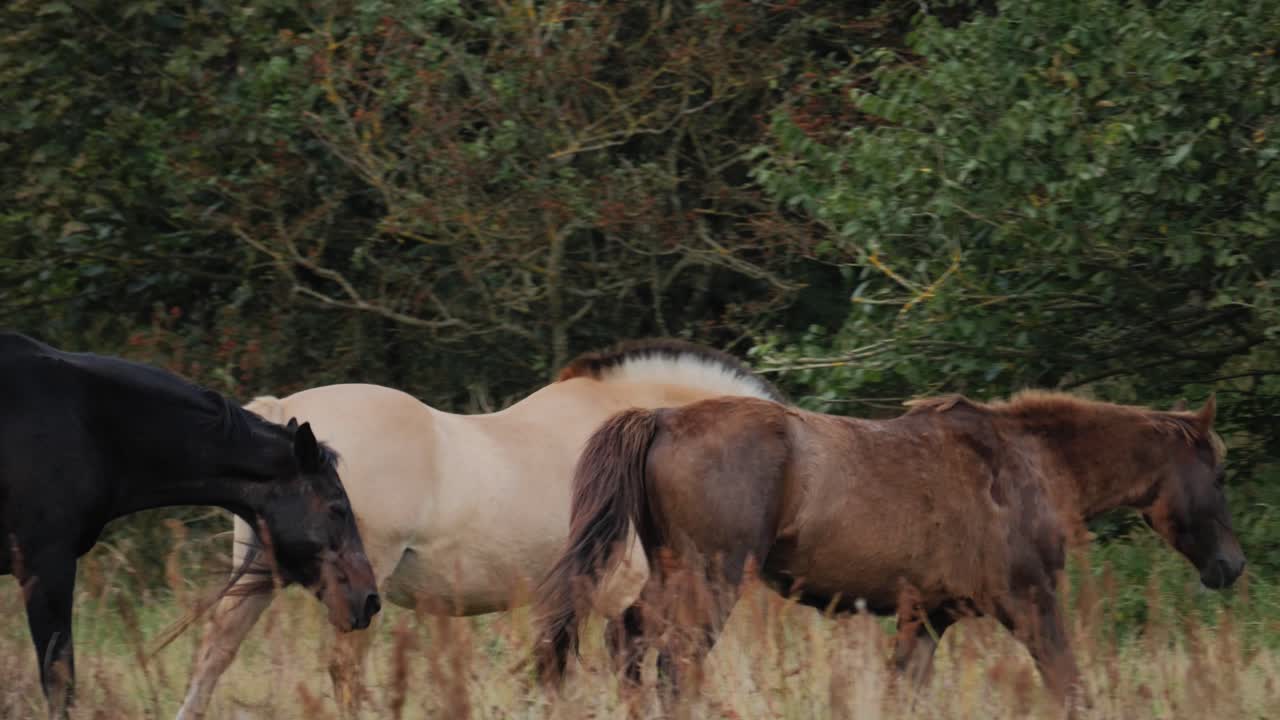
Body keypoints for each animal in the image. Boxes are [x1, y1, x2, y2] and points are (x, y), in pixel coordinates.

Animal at [173, 339, 784, 719]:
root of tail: (283, 414)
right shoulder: (621, 591)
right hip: (355, 590)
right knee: (343, 670)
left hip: (265, 576)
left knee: (214, 655)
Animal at [533, 391, 1245, 712]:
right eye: (1218, 474)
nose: (1231, 565)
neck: (1029, 466)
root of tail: (662, 418)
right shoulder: (1031, 604)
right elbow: (1069, 685)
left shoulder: (927, 617)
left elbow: (906, 691)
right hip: (711, 580)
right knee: (673, 660)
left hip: (673, 575)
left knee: (628, 639)